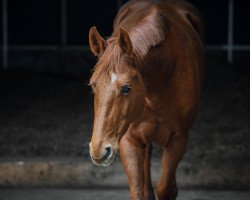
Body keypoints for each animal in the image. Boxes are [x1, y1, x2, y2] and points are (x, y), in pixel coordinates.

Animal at [88, 0, 203, 200]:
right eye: (93, 86)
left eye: (127, 88)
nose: (99, 150)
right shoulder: (128, 140)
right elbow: (138, 191)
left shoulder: (178, 139)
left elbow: (165, 189)